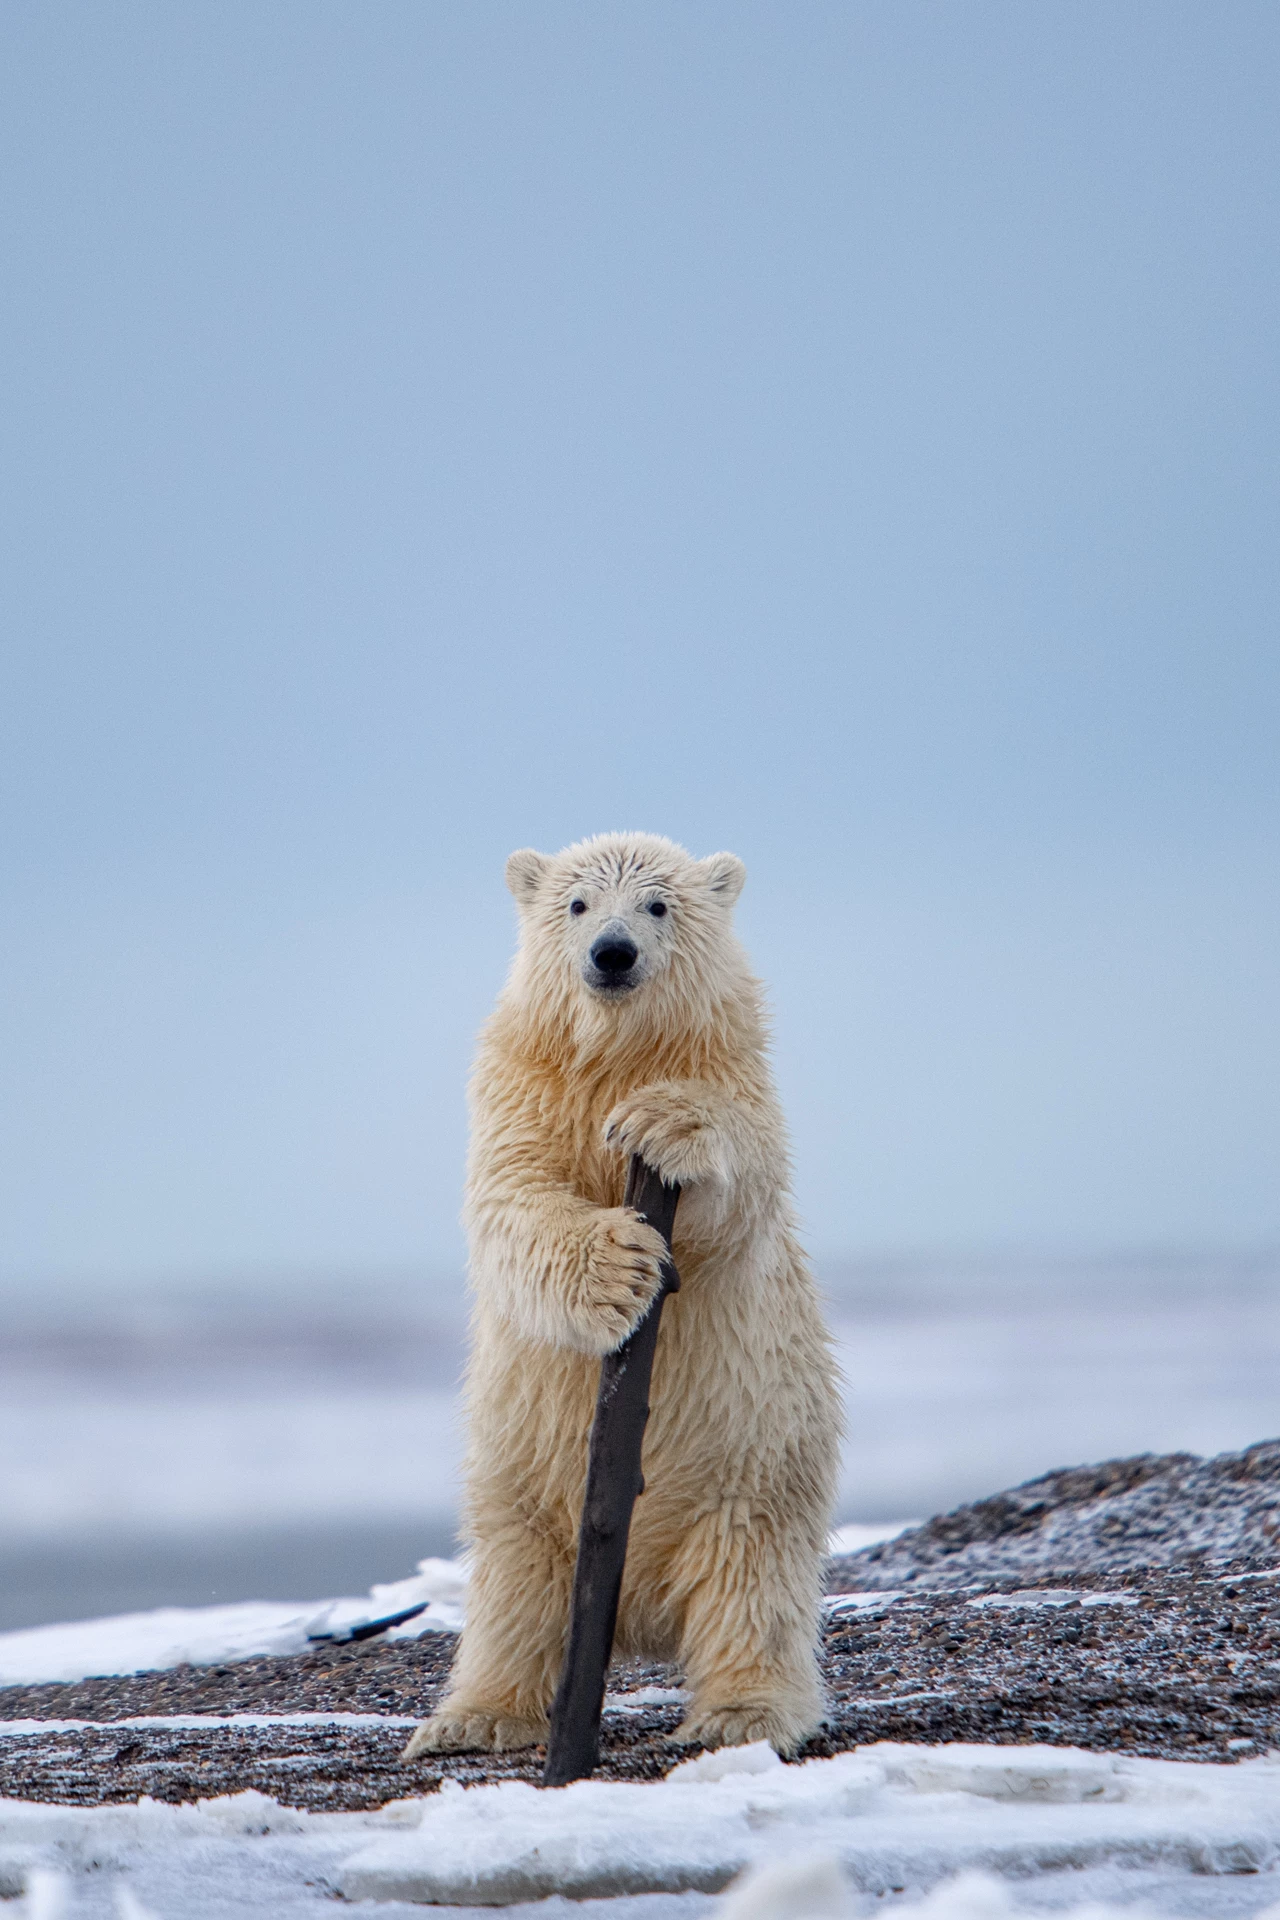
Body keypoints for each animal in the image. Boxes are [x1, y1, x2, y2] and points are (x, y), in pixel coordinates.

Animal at [403, 831, 841, 1760]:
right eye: (576, 904)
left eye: (657, 904)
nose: (612, 953)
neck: (615, 1055)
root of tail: (639, 1616)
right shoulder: (523, 1090)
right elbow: (513, 1200)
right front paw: (618, 1269)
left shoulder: (735, 1075)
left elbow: (738, 1181)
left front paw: (660, 1124)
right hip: (521, 1480)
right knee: (513, 1591)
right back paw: (474, 1717)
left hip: (758, 1459)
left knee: (751, 1585)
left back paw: (742, 1712)